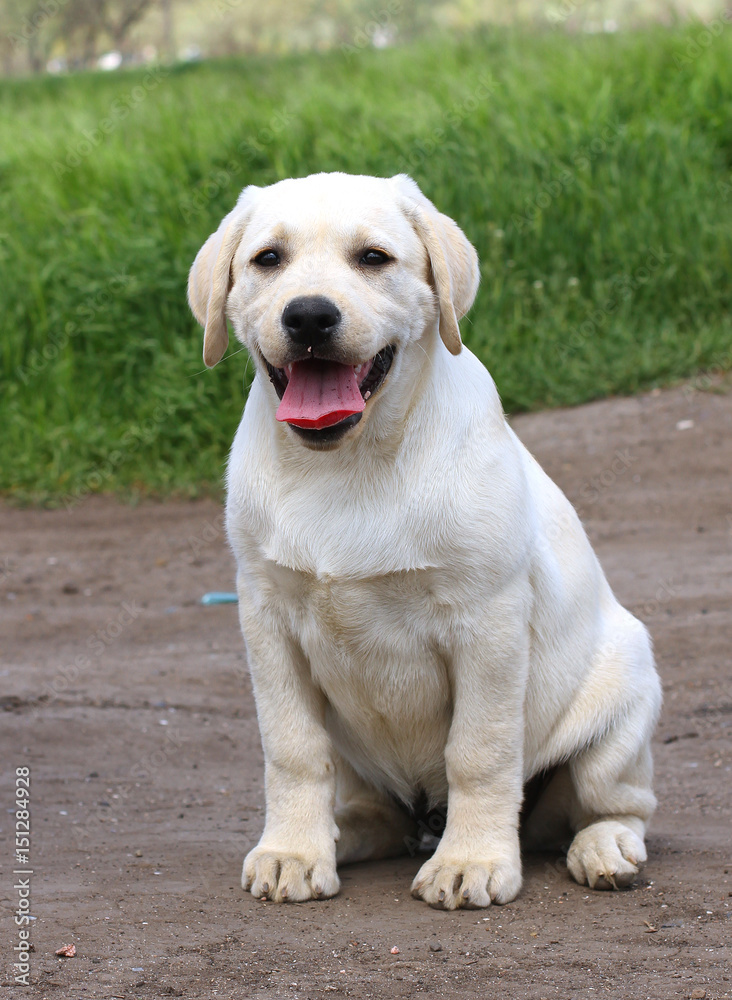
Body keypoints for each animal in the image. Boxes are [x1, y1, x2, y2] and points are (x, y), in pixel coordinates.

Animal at [189, 172, 664, 908]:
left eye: (373, 258)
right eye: (268, 259)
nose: (309, 317)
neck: (347, 464)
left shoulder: (487, 622)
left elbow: (480, 752)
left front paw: (471, 861)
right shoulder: (266, 617)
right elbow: (293, 750)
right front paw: (293, 850)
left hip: (625, 699)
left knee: (616, 805)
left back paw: (603, 848)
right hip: (361, 762)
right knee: (369, 808)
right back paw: (340, 834)